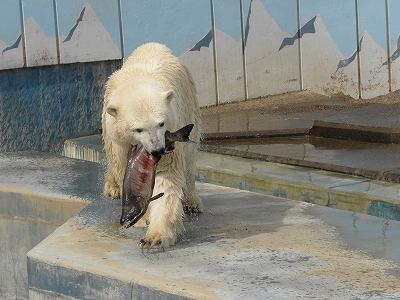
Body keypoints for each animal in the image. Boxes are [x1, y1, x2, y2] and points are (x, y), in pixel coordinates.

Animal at [101, 42, 203, 248]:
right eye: (138, 129)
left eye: (161, 123)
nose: (157, 150)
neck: (139, 81)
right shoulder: (119, 139)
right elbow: (124, 170)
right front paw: (141, 218)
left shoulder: (173, 129)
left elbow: (166, 178)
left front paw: (156, 236)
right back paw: (112, 188)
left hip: (191, 108)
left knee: (189, 160)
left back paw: (192, 202)